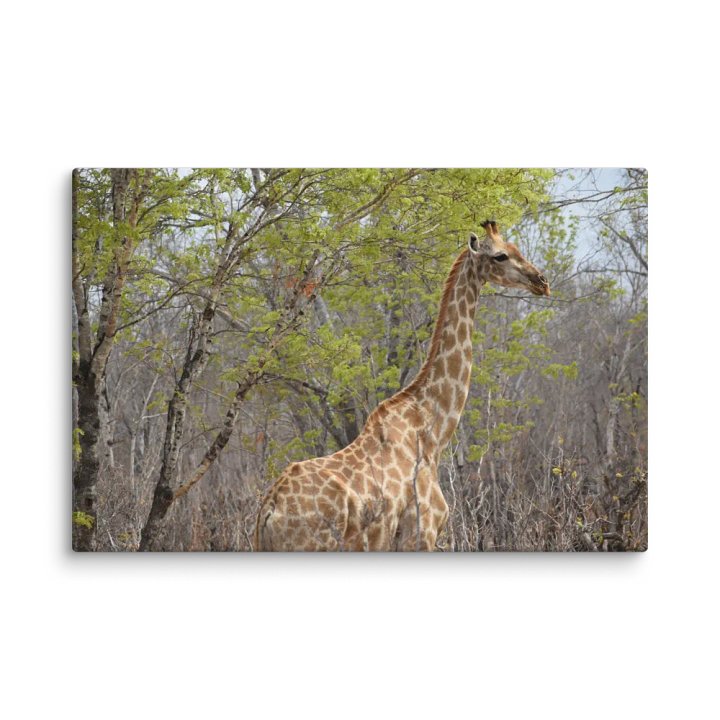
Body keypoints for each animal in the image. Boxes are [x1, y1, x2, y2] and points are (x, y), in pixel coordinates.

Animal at [254, 221, 550, 551]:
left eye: (515, 249)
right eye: (500, 256)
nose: (541, 281)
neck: (433, 431)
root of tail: (269, 510)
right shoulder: (421, 532)